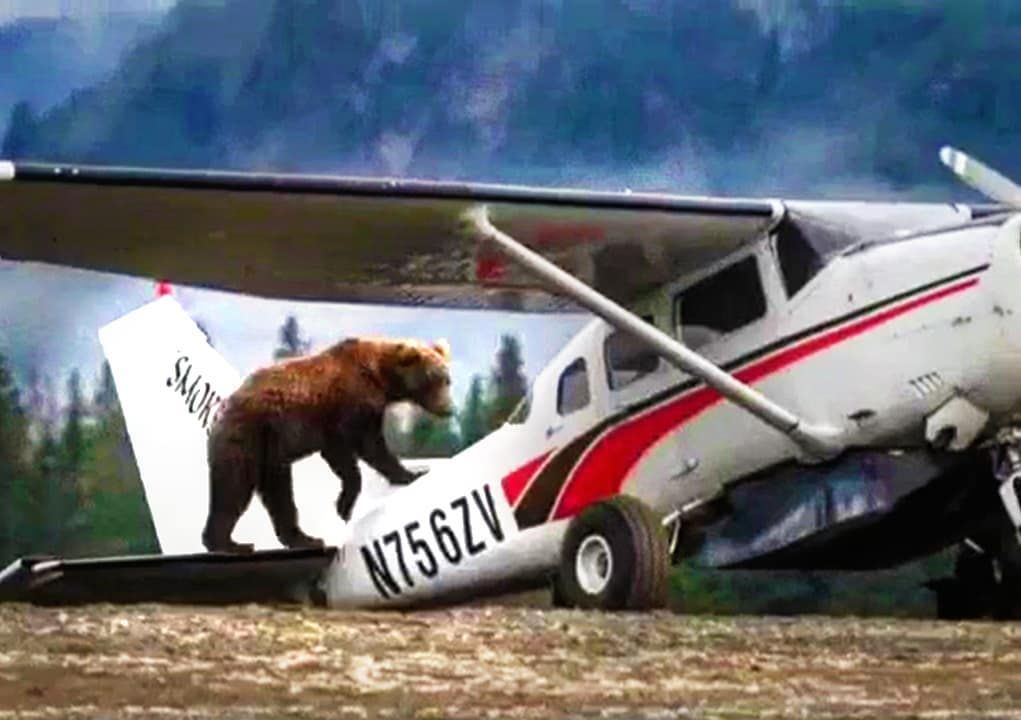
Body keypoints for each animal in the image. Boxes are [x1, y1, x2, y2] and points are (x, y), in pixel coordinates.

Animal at [201, 336, 453, 554]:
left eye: (447, 380)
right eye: (433, 379)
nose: (449, 408)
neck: (381, 378)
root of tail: (222, 408)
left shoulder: (356, 416)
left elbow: (360, 452)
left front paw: (410, 474)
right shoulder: (347, 406)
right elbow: (359, 451)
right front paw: (345, 505)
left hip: (270, 454)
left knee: (279, 494)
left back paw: (304, 539)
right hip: (249, 437)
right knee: (234, 486)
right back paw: (228, 543)